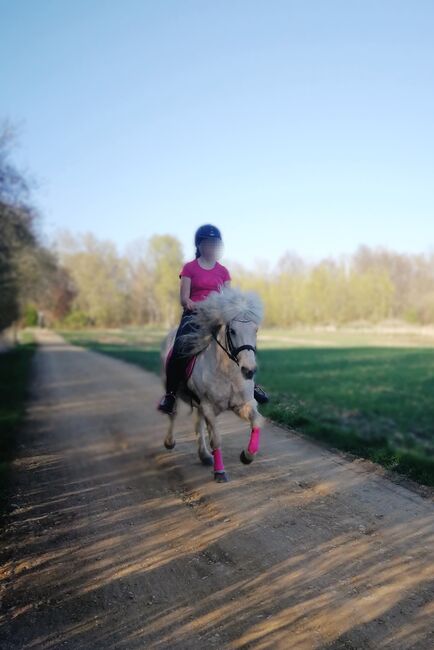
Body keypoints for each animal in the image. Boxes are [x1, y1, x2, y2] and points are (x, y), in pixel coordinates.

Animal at [160, 286, 264, 478]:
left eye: (256, 330)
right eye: (233, 331)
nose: (249, 370)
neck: (227, 373)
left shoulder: (242, 404)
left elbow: (257, 421)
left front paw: (247, 456)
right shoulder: (209, 406)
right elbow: (216, 439)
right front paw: (220, 472)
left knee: (198, 422)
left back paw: (205, 455)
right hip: (171, 388)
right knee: (173, 413)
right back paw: (170, 442)